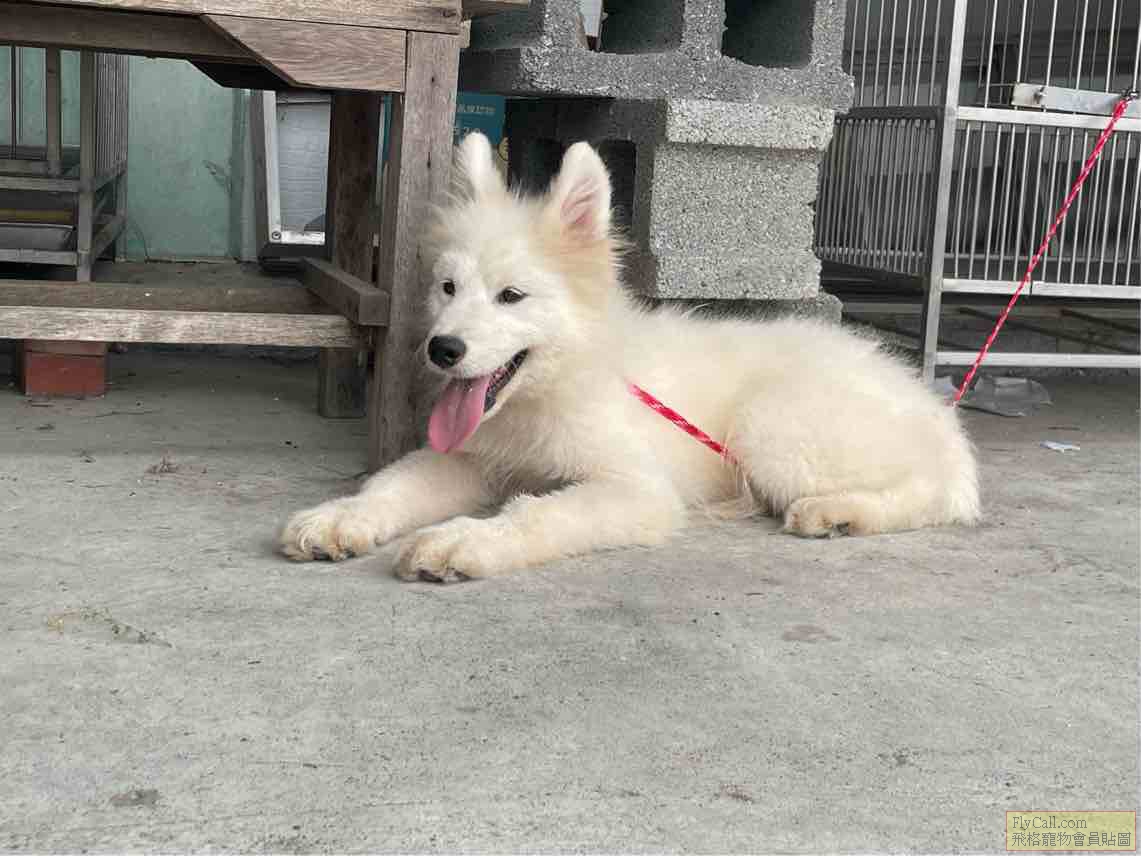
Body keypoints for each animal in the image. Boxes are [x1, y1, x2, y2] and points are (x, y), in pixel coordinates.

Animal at [280, 132, 979, 581]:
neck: (553, 388)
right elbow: (391, 483)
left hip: (772, 426)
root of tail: (929, 406)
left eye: (511, 296)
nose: (443, 349)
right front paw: (340, 518)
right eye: (448, 288)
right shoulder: (474, 459)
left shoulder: (635, 488)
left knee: (932, 494)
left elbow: (540, 513)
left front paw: (467, 539)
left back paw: (837, 513)